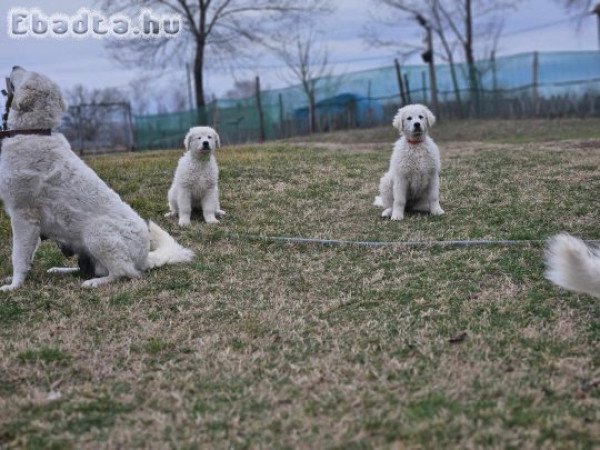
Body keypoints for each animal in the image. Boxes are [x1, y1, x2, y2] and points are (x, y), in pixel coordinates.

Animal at [0, 67, 193, 292]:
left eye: (25, 73)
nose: (14, 66)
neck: (35, 132)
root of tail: (144, 257)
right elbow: (27, 256)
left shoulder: (23, 215)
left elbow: (18, 256)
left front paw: (14, 285)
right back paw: (60, 270)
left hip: (96, 232)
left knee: (125, 272)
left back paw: (94, 283)